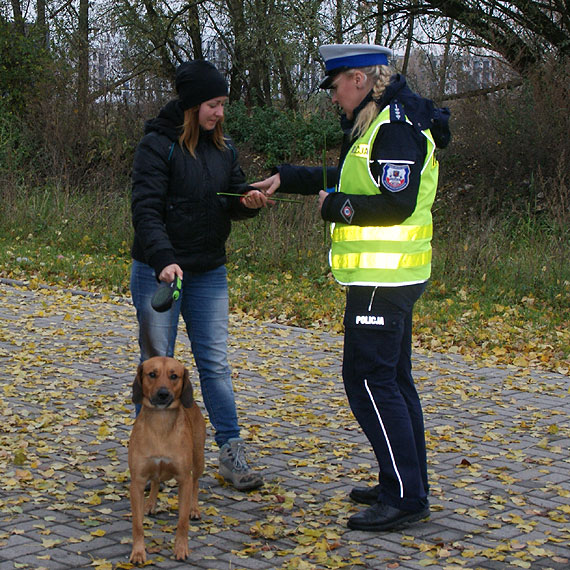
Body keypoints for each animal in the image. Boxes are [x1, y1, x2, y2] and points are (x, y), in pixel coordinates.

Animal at [126, 358, 204, 560]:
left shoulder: (184, 479)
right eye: (152, 374)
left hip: (198, 460)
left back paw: (194, 509)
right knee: (155, 482)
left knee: (196, 483)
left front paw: (181, 549)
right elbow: (137, 525)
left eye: (174, 376)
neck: (160, 425)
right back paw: (150, 504)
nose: (163, 393)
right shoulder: (137, 481)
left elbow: (182, 522)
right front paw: (138, 552)